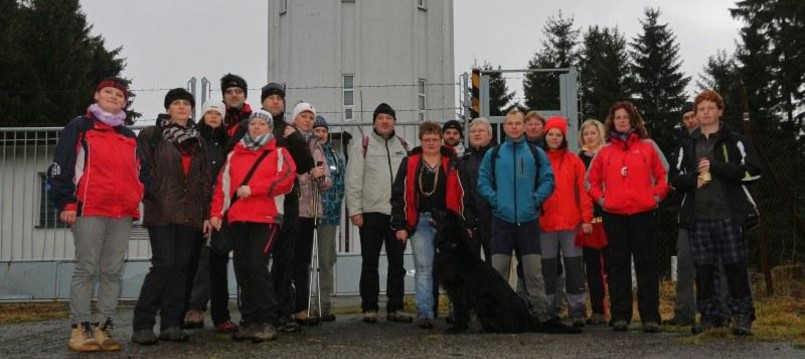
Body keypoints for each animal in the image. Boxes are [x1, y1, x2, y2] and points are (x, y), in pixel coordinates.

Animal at [430, 210, 580, 336]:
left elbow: (460, 311)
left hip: (485, 301)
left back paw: (488, 329)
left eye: (443, 212)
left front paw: (457, 328)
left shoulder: (459, 292)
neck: (453, 247)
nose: (431, 209)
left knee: (511, 328)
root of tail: (527, 318)